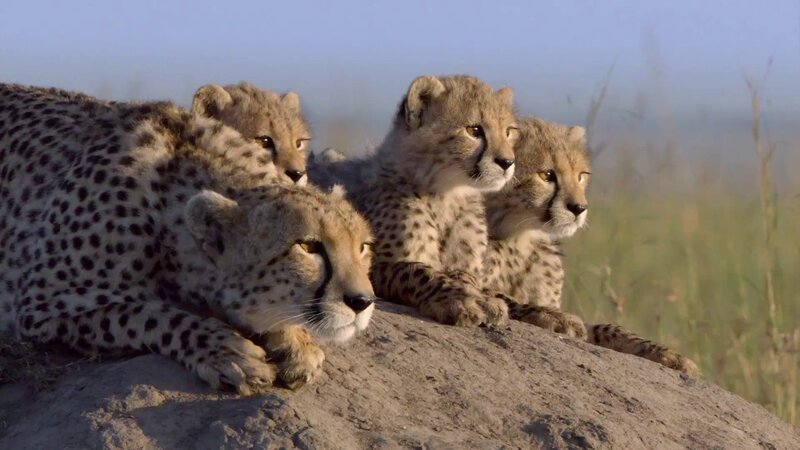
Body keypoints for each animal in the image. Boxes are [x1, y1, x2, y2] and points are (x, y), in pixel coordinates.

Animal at [0, 83, 375, 393]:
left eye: (363, 248)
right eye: (309, 246)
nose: (362, 302)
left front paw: (298, 343)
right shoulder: (42, 305)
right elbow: (149, 313)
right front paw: (228, 350)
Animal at [484, 116, 699, 375]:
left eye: (581, 175)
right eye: (546, 175)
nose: (579, 208)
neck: (522, 237)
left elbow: (606, 328)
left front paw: (666, 353)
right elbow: (500, 295)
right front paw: (553, 316)